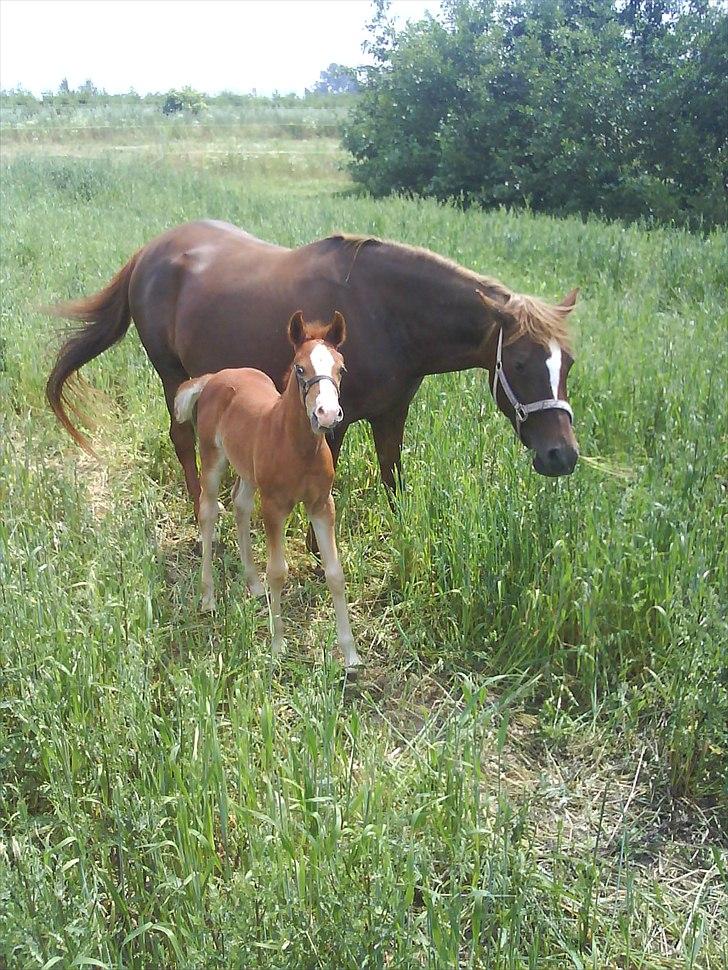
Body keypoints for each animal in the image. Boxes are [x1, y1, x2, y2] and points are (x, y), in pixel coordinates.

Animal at [47, 218, 580, 506]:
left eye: (568, 363)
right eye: (519, 364)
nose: (562, 455)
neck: (385, 311)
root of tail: (148, 253)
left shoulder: (392, 414)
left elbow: (392, 477)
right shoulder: (333, 421)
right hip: (170, 374)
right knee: (182, 440)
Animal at [174, 314, 362, 668]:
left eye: (341, 369)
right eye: (300, 368)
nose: (328, 414)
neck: (297, 448)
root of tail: (215, 377)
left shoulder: (321, 505)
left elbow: (335, 573)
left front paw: (351, 656)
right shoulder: (274, 506)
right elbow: (278, 572)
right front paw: (277, 648)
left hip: (248, 471)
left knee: (240, 505)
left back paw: (253, 584)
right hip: (212, 458)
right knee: (208, 513)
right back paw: (208, 598)